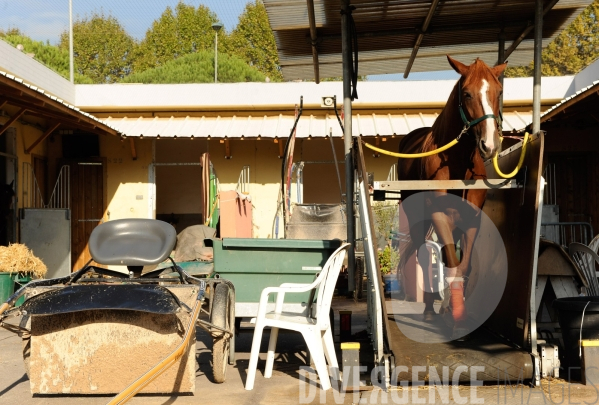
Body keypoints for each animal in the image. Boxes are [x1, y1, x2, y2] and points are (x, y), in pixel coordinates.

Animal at [398, 56, 506, 334]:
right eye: (466, 93)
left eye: (499, 91)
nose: (489, 145)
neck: (457, 163)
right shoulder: (438, 215)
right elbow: (449, 262)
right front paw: (455, 316)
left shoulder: (471, 219)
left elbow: (462, 264)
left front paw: (455, 312)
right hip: (418, 220)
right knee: (425, 255)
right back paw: (428, 309)